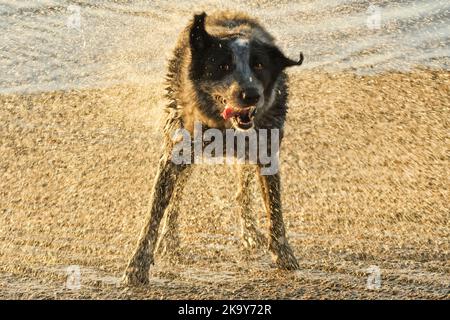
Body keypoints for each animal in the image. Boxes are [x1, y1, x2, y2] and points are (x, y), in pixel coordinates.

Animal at [123, 10, 304, 284]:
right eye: (224, 66)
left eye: (259, 65)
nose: (250, 95)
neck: (222, 126)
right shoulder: (175, 153)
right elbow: (154, 214)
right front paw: (137, 265)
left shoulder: (266, 151)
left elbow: (275, 210)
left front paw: (284, 256)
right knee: (177, 195)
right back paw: (170, 239)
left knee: (243, 188)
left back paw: (249, 230)